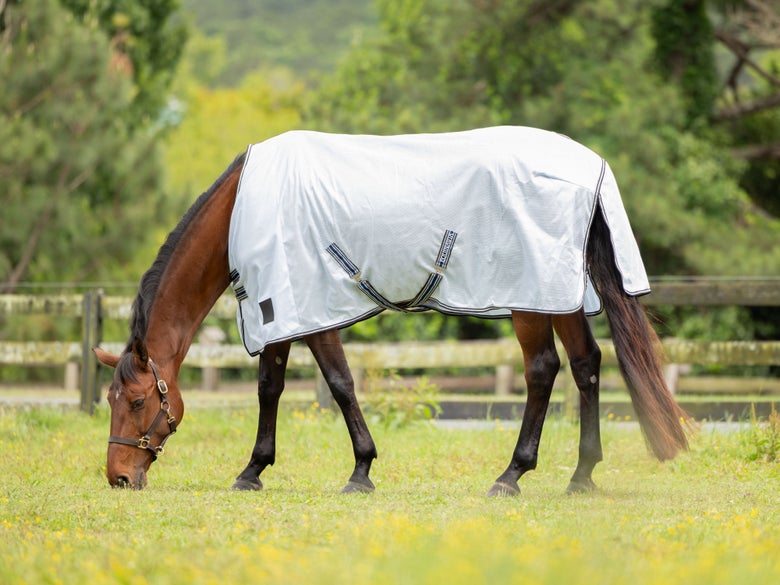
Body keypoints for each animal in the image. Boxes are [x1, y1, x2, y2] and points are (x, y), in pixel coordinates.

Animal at [94, 126, 690, 495]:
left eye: (139, 400)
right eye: (110, 400)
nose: (118, 476)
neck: (245, 206)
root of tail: (589, 166)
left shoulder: (305, 308)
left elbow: (330, 385)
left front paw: (349, 470)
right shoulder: (286, 311)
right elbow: (282, 386)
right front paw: (266, 469)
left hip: (529, 300)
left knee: (543, 371)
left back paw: (512, 475)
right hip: (558, 294)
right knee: (587, 365)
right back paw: (581, 475)